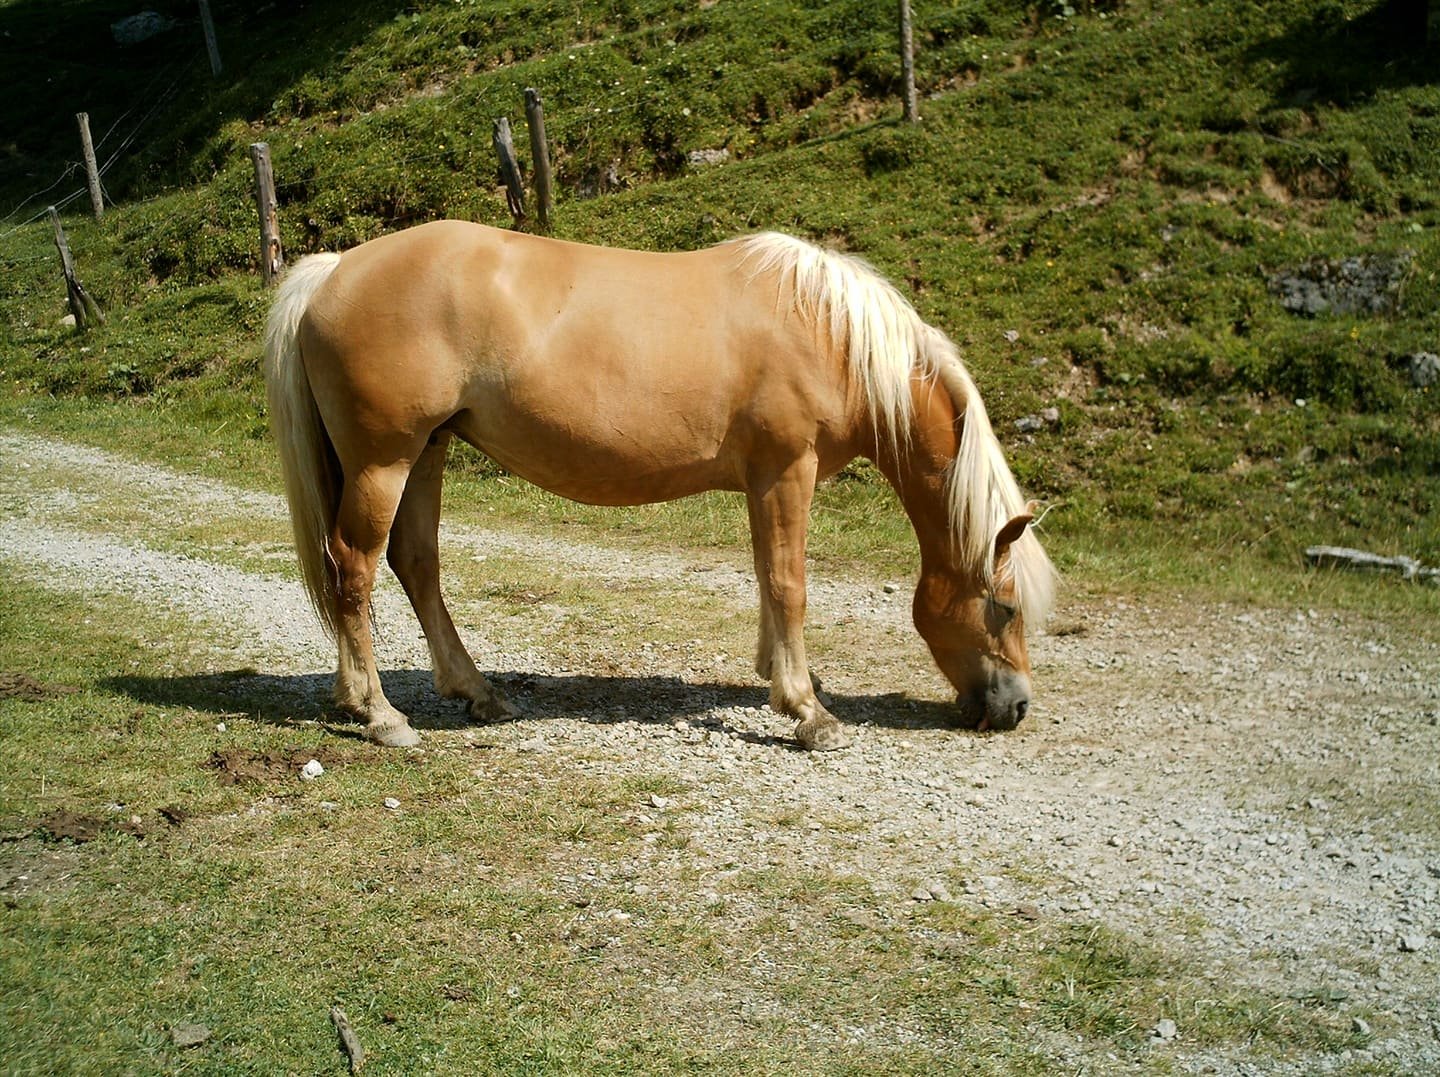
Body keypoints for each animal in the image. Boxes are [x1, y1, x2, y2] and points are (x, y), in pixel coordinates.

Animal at [263, 221, 1055, 750]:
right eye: (1005, 608)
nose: (1016, 707)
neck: (828, 332)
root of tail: (334, 269)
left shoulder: (763, 480)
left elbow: (767, 577)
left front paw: (777, 677)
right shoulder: (786, 469)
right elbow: (790, 583)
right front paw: (807, 710)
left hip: (426, 451)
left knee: (415, 563)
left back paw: (476, 692)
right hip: (384, 461)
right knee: (354, 569)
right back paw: (378, 712)